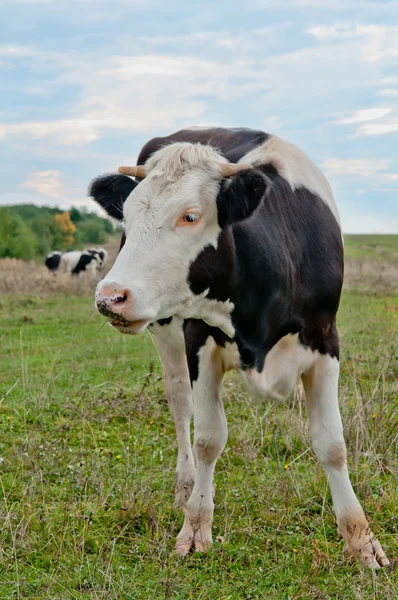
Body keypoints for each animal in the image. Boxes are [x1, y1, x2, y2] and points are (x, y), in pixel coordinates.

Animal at [88, 125, 388, 568]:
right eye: (127, 216)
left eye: (190, 215)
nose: (110, 297)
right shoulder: (197, 341)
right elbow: (208, 438)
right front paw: (195, 526)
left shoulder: (326, 340)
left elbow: (332, 443)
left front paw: (361, 539)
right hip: (165, 336)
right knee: (180, 403)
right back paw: (185, 484)